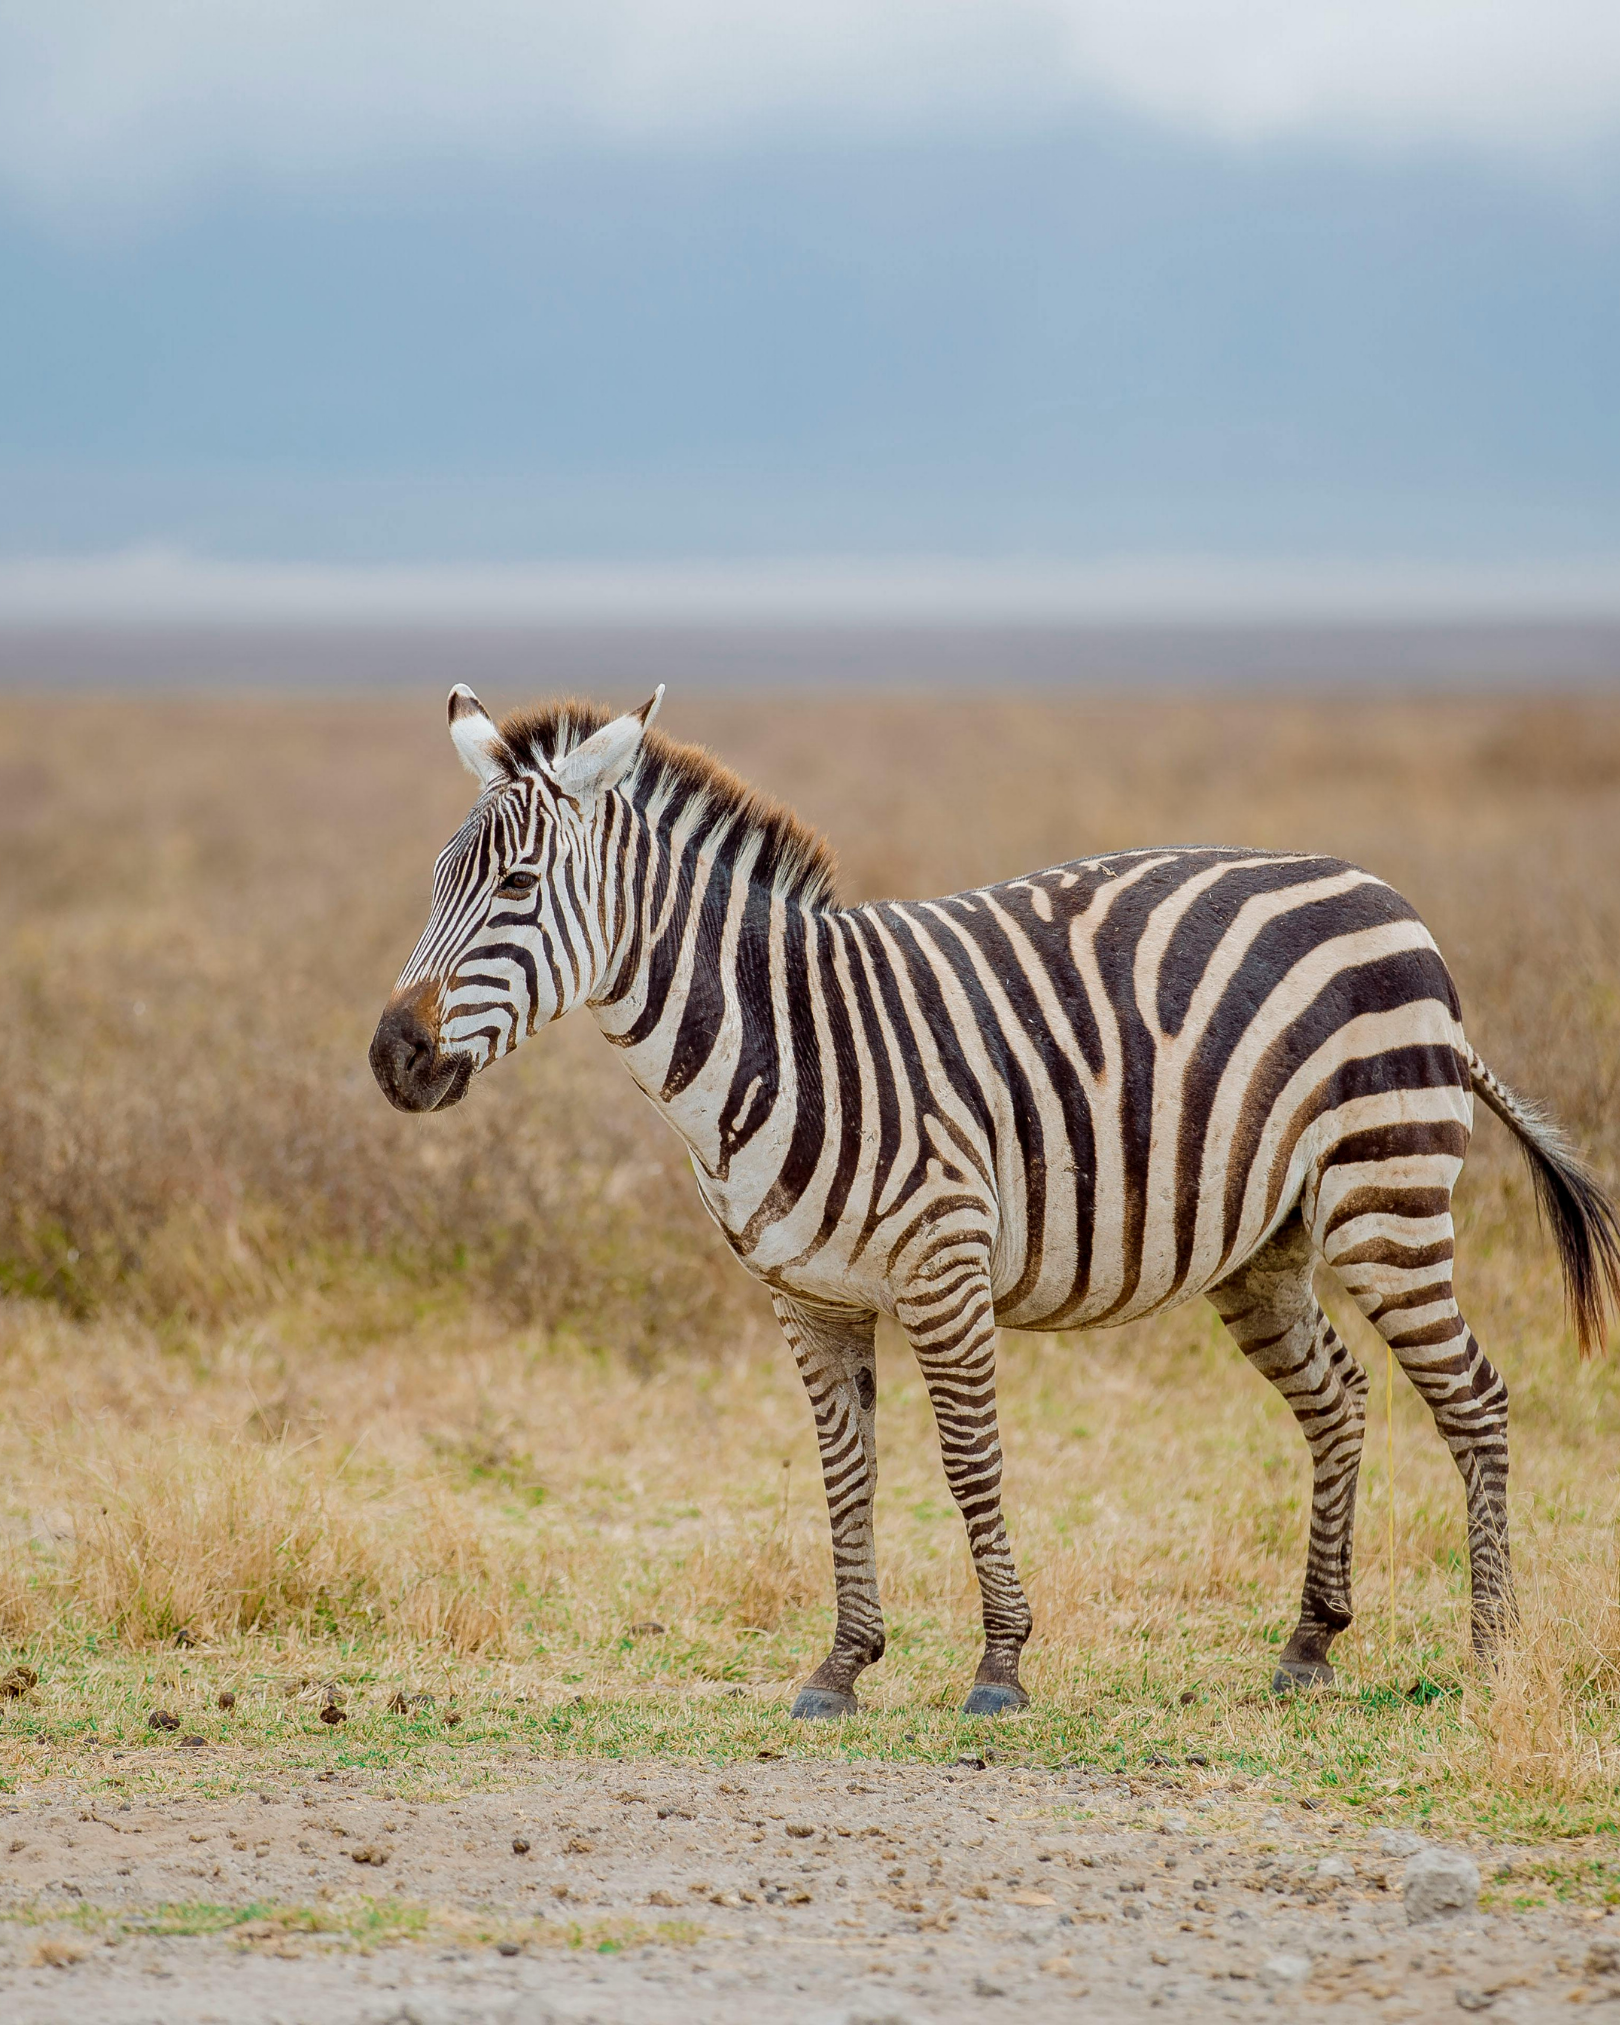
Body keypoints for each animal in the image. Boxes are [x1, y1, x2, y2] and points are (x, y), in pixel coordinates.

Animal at [371, 685, 1620, 1714]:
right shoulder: (807, 1298)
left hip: (1387, 1203)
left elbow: (970, 1462)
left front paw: (1001, 1665)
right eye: (431, 884)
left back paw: (1492, 1651)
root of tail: (1387, 897)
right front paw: (841, 1666)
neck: (778, 1040)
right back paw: (1311, 1643)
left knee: (1477, 1400)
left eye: (517, 887)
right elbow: (847, 1473)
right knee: (1341, 1401)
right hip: (1264, 1251)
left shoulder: (945, 1266)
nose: (393, 1057)